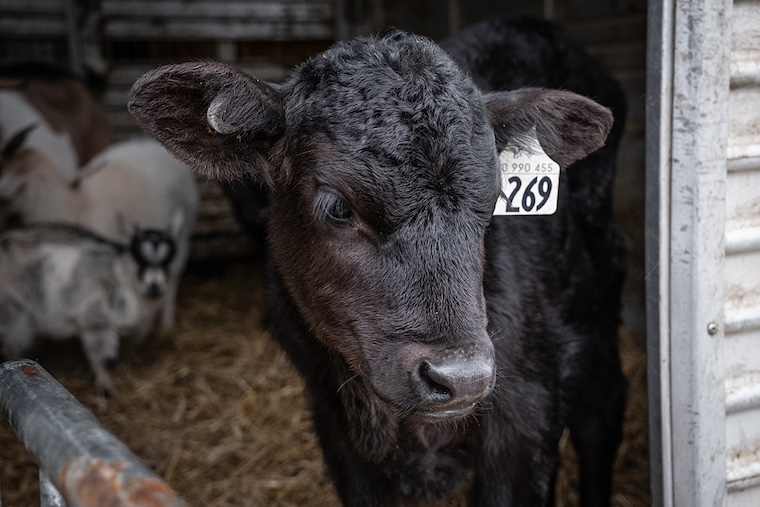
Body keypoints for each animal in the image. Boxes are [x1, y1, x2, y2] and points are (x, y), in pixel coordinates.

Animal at [128, 17, 628, 507]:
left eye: (495, 198)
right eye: (337, 206)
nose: (461, 377)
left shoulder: (525, 409)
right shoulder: (333, 416)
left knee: (601, 417)